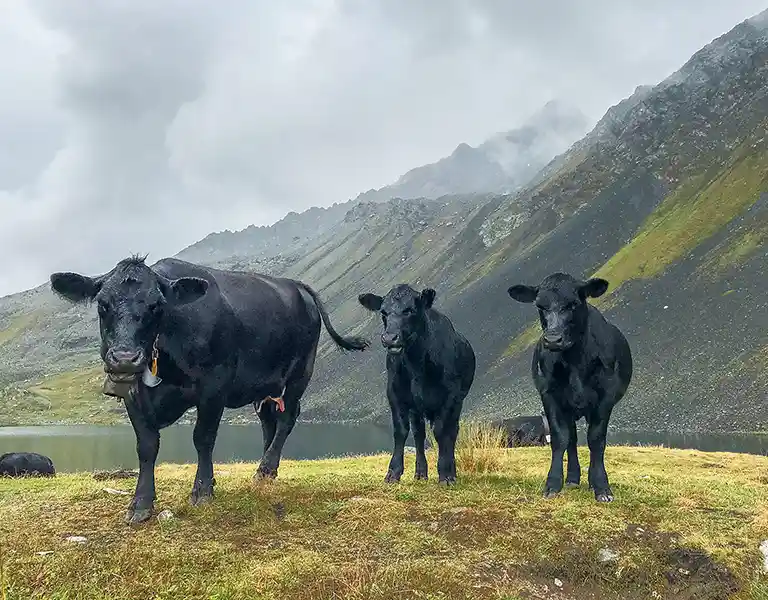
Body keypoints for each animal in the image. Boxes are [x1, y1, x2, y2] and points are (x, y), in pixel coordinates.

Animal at [51, 255, 368, 524]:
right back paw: (267, 470)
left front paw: (203, 491)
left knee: (287, 418)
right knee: (269, 421)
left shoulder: (214, 386)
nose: (125, 358)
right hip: (265, 384)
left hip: (301, 372)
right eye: (102, 304)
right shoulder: (133, 393)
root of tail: (297, 285)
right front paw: (141, 503)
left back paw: (266, 466)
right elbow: (146, 446)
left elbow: (203, 438)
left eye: (156, 306)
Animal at [358, 284, 474, 486]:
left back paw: (451, 471)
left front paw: (445, 474)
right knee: (419, 434)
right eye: (383, 312)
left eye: (410, 310)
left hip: (458, 401)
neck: (417, 364)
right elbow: (401, 431)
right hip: (416, 408)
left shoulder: (450, 396)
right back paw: (420, 473)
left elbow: (442, 431)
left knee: (452, 431)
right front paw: (393, 473)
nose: (389, 338)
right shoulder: (395, 394)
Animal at [510, 274, 632, 504]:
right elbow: (560, 439)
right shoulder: (550, 396)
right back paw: (573, 478)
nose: (552, 339)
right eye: (540, 305)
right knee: (572, 440)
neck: (575, 361)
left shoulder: (605, 398)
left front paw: (601, 486)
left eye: (574, 304)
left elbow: (596, 440)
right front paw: (553, 484)